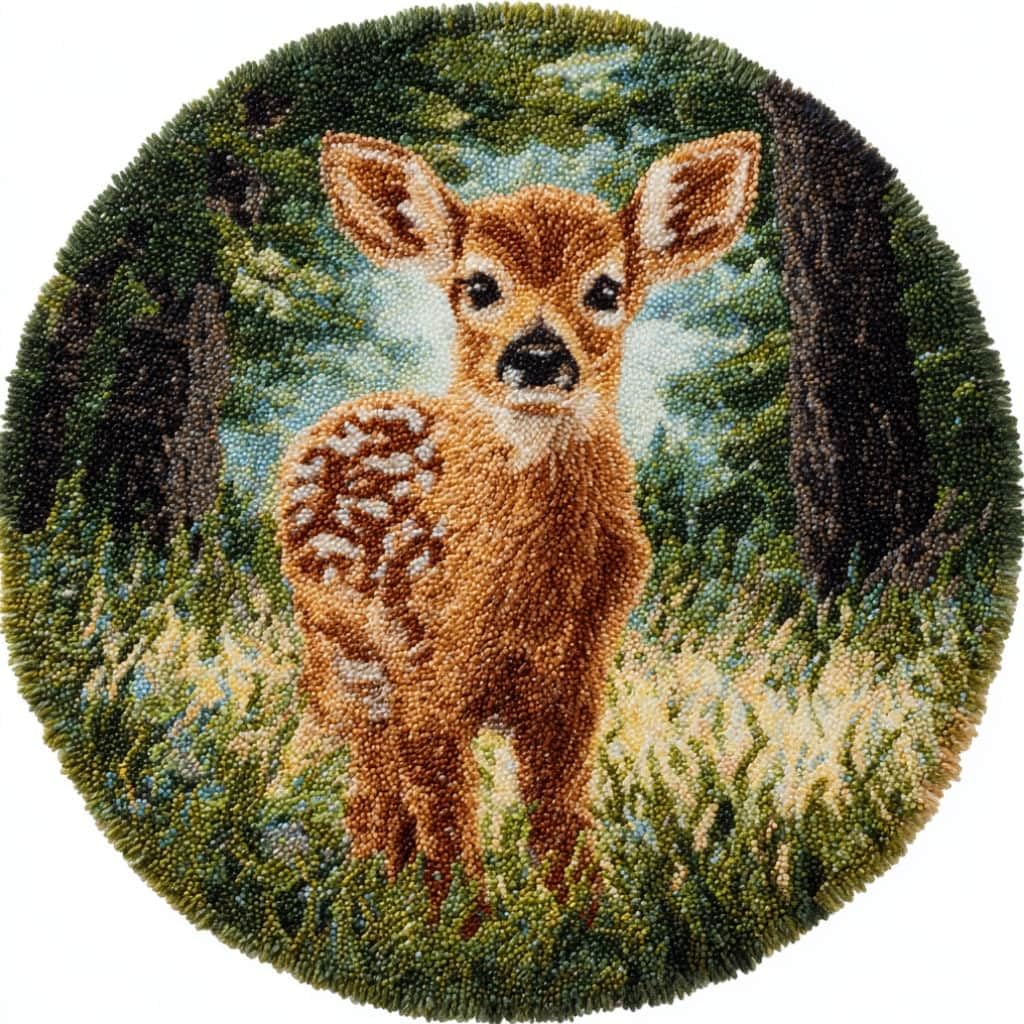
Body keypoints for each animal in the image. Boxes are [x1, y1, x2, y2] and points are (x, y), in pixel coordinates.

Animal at [276, 129, 760, 912]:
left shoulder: (576, 677)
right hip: (343, 654)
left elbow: (558, 810)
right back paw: (367, 890)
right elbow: (447, 819)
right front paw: (458, 924)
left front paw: (587, 916)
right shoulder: (423, 673)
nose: (536, 355)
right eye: (478, 285)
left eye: (606, 289)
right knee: (370, 787)